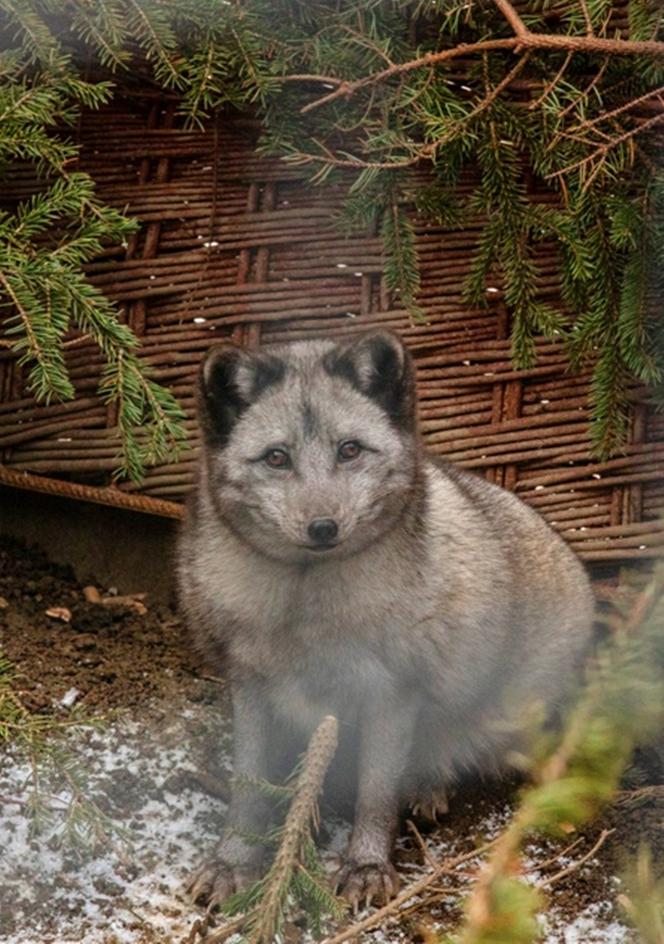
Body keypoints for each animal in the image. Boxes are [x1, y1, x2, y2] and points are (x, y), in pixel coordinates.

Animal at [179, 330, 592, 908]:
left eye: (350, 450)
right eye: (277, 458)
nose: (323, 527)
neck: (305, 603)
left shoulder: (392, 692)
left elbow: (375, 791)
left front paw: (367, 866)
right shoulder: (250, 683)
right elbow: (248, 783)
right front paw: (234, 861)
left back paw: (428, 784)